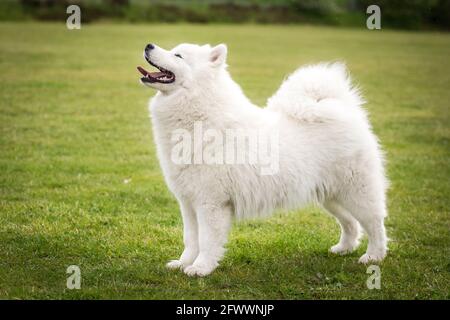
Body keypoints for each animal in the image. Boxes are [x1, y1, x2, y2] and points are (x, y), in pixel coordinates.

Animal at [137, 43, 386, 278]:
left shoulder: (211, 203)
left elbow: (206, 241)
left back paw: (374, 256)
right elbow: (190, 239)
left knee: (375, 223)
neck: (200, 117)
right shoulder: (188, 202)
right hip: (331, 196)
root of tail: (345, 110)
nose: (148, 45)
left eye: (178, 55)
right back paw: (343, 248)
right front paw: (183, 263)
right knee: (350, 223)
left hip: (356, 193)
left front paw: (201, 268)